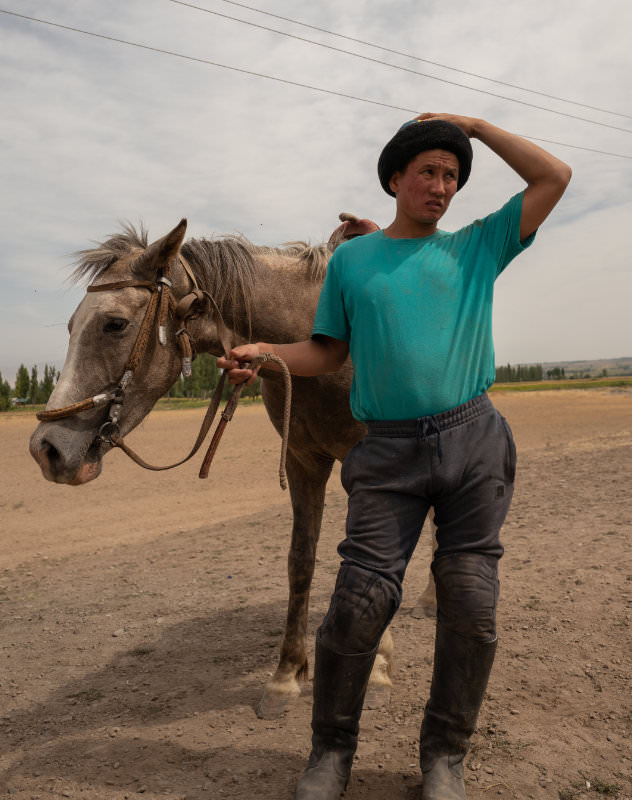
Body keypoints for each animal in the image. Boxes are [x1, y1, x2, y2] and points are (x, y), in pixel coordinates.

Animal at [28, 217, 434, 720]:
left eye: (114, 324)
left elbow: (376, 559)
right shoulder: (302, 461)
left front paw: (376, 669)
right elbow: (301, 560)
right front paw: (286, 675)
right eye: (70, 326)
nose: (45, 448)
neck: (326, 344)